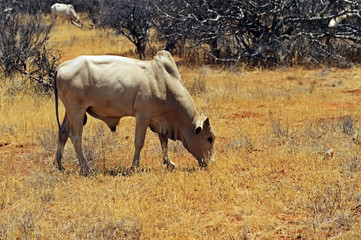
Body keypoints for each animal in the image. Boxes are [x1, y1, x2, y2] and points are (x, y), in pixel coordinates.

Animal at [54, 50, 215, 174]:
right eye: (209, 138)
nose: (210, 162)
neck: (165, 84)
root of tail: (61, 66)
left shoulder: (160, 120)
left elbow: (164, 142)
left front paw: (169, 163)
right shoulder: (143, 115)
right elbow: (139, 142)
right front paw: (135, 166)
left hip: (70, 111)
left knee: (63, 133)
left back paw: (60, 165)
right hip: (77, 110)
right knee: (75, 137)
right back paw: (86, 168)